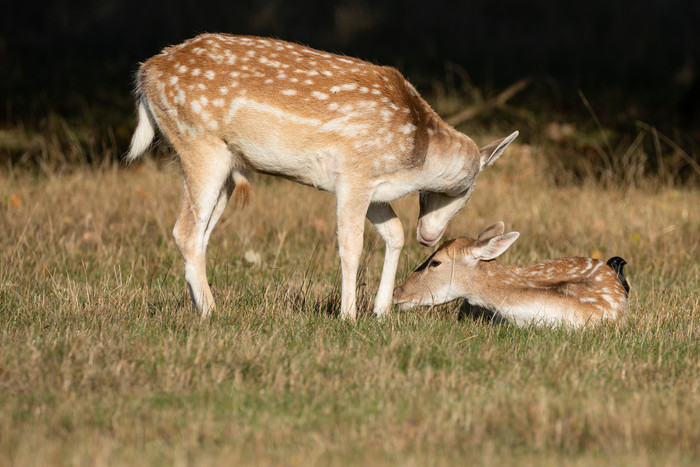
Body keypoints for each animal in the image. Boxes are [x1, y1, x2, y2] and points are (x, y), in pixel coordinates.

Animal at [127, 31, 520, 320]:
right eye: (466, 190)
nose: (429, 237)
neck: (415, 152)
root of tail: (144, 75)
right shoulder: (354, 172)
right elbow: (351, 245)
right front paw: (348, 316)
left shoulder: (375, 189)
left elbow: (394, 234)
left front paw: (381, 312)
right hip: (199, 144)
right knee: (184, 231)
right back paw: (213, 312)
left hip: (224, 165)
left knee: (200, 234)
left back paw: (200, 306)